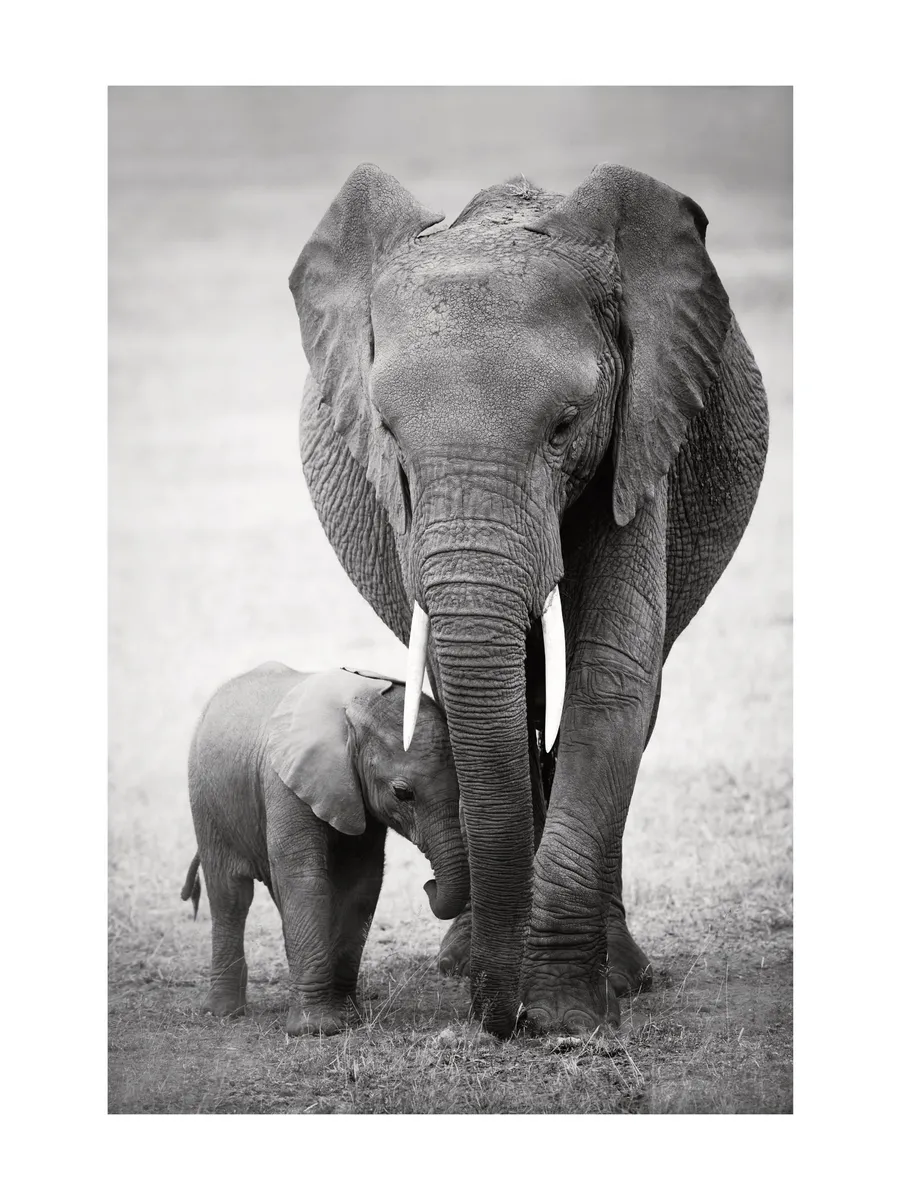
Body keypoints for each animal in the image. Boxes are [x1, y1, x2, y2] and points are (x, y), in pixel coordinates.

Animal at [181, 662, 468, 1035]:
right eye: (403, 793)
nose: (429, 885)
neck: (353, 712)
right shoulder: (285, 783)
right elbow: (305, 880)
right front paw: (316, 1030)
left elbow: (361, 885)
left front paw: (348, 1017)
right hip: (206, 802)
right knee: (230, 894)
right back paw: (223, 1012)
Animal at [289, 163, 768, 1038]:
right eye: (387, 431)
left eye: (566, 425)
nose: (497, 1018)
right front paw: (520, 995)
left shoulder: (641, 433)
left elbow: (611, 676)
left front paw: (567, 1018)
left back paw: (620, 975)